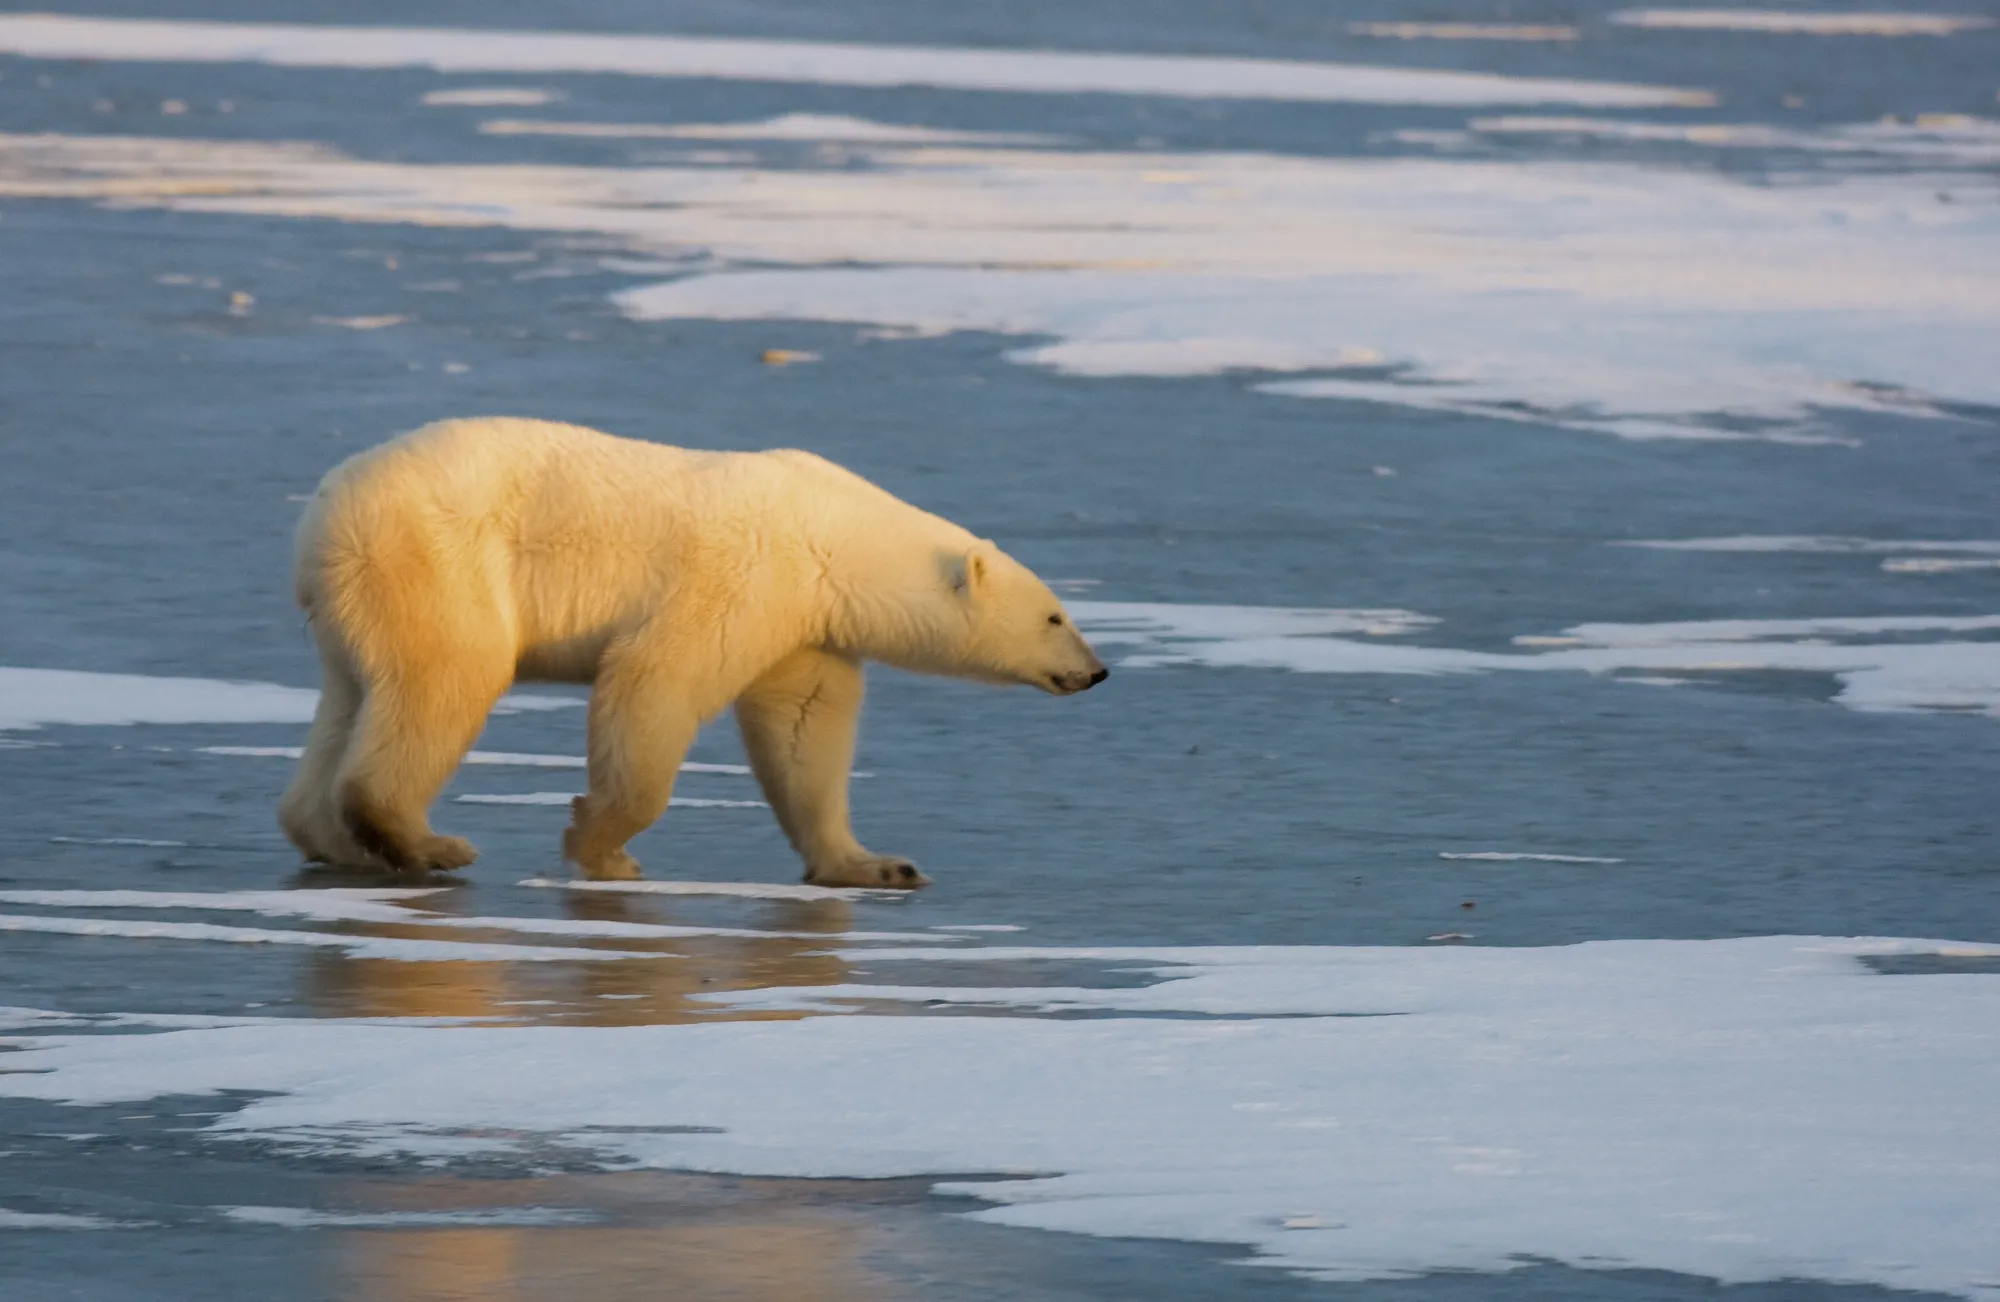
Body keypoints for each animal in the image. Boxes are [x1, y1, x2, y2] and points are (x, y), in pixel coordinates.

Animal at [277, 417, 1107, 887]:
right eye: (1056, 616)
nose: (1097, 672)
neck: (834, 538)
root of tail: (323, 512)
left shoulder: (805, 626)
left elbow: (805, 731)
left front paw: (877, 864)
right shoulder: (744, 574)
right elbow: (655, 682)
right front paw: (603, 847)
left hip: (358, 599)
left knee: (353, 698)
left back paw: (334, 840)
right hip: (440, 560)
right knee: (450, 676)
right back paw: (428, 843)